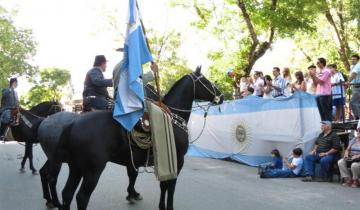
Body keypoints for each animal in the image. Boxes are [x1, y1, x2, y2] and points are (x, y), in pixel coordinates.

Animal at [43, 68, 222, 210]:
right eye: (205, 80)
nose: (220, 95)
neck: (172, 118)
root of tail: (73, 123)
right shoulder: (177, 161)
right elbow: (169, 187)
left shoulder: (156, 162)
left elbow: (158, 184)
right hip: (92, 170)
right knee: (80, 197)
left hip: (76, 167)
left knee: (67, 193)